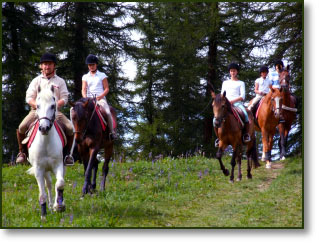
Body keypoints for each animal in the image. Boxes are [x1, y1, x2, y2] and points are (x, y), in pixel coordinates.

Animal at [27, 84, 66, 219]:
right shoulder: (39, 169)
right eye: (38, 106)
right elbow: (42, 193)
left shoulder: (58, 165)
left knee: (52, 184)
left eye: (53, 106)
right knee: (48, 184)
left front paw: (59, 206)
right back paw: (48, 206)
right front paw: (43, 216)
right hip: (44, 170)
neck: (46, 142)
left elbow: (60, 184)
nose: (44, 128)